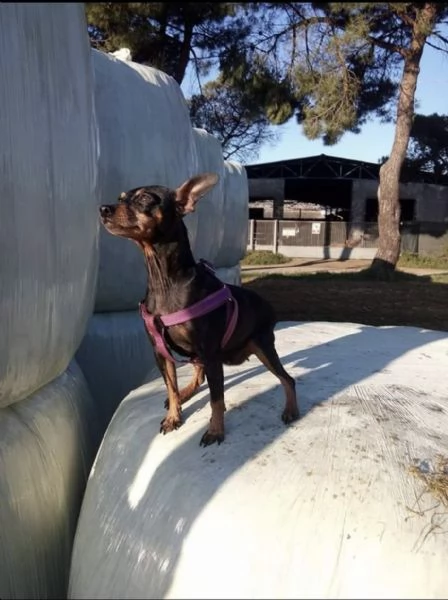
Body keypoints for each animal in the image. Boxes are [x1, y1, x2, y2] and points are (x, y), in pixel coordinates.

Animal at [100, 173, 300, 446]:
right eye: (120, 198)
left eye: (144, 199)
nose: (103, 209)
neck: (164, 281)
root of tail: (268, 306)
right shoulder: (160, 352)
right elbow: (171, 386)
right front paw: (174, 416)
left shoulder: (210, 353)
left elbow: (217, 399)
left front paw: (215, 430)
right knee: (197, 376)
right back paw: (186, 393)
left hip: (262, 347)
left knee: (287, 379)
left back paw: (291, 409)